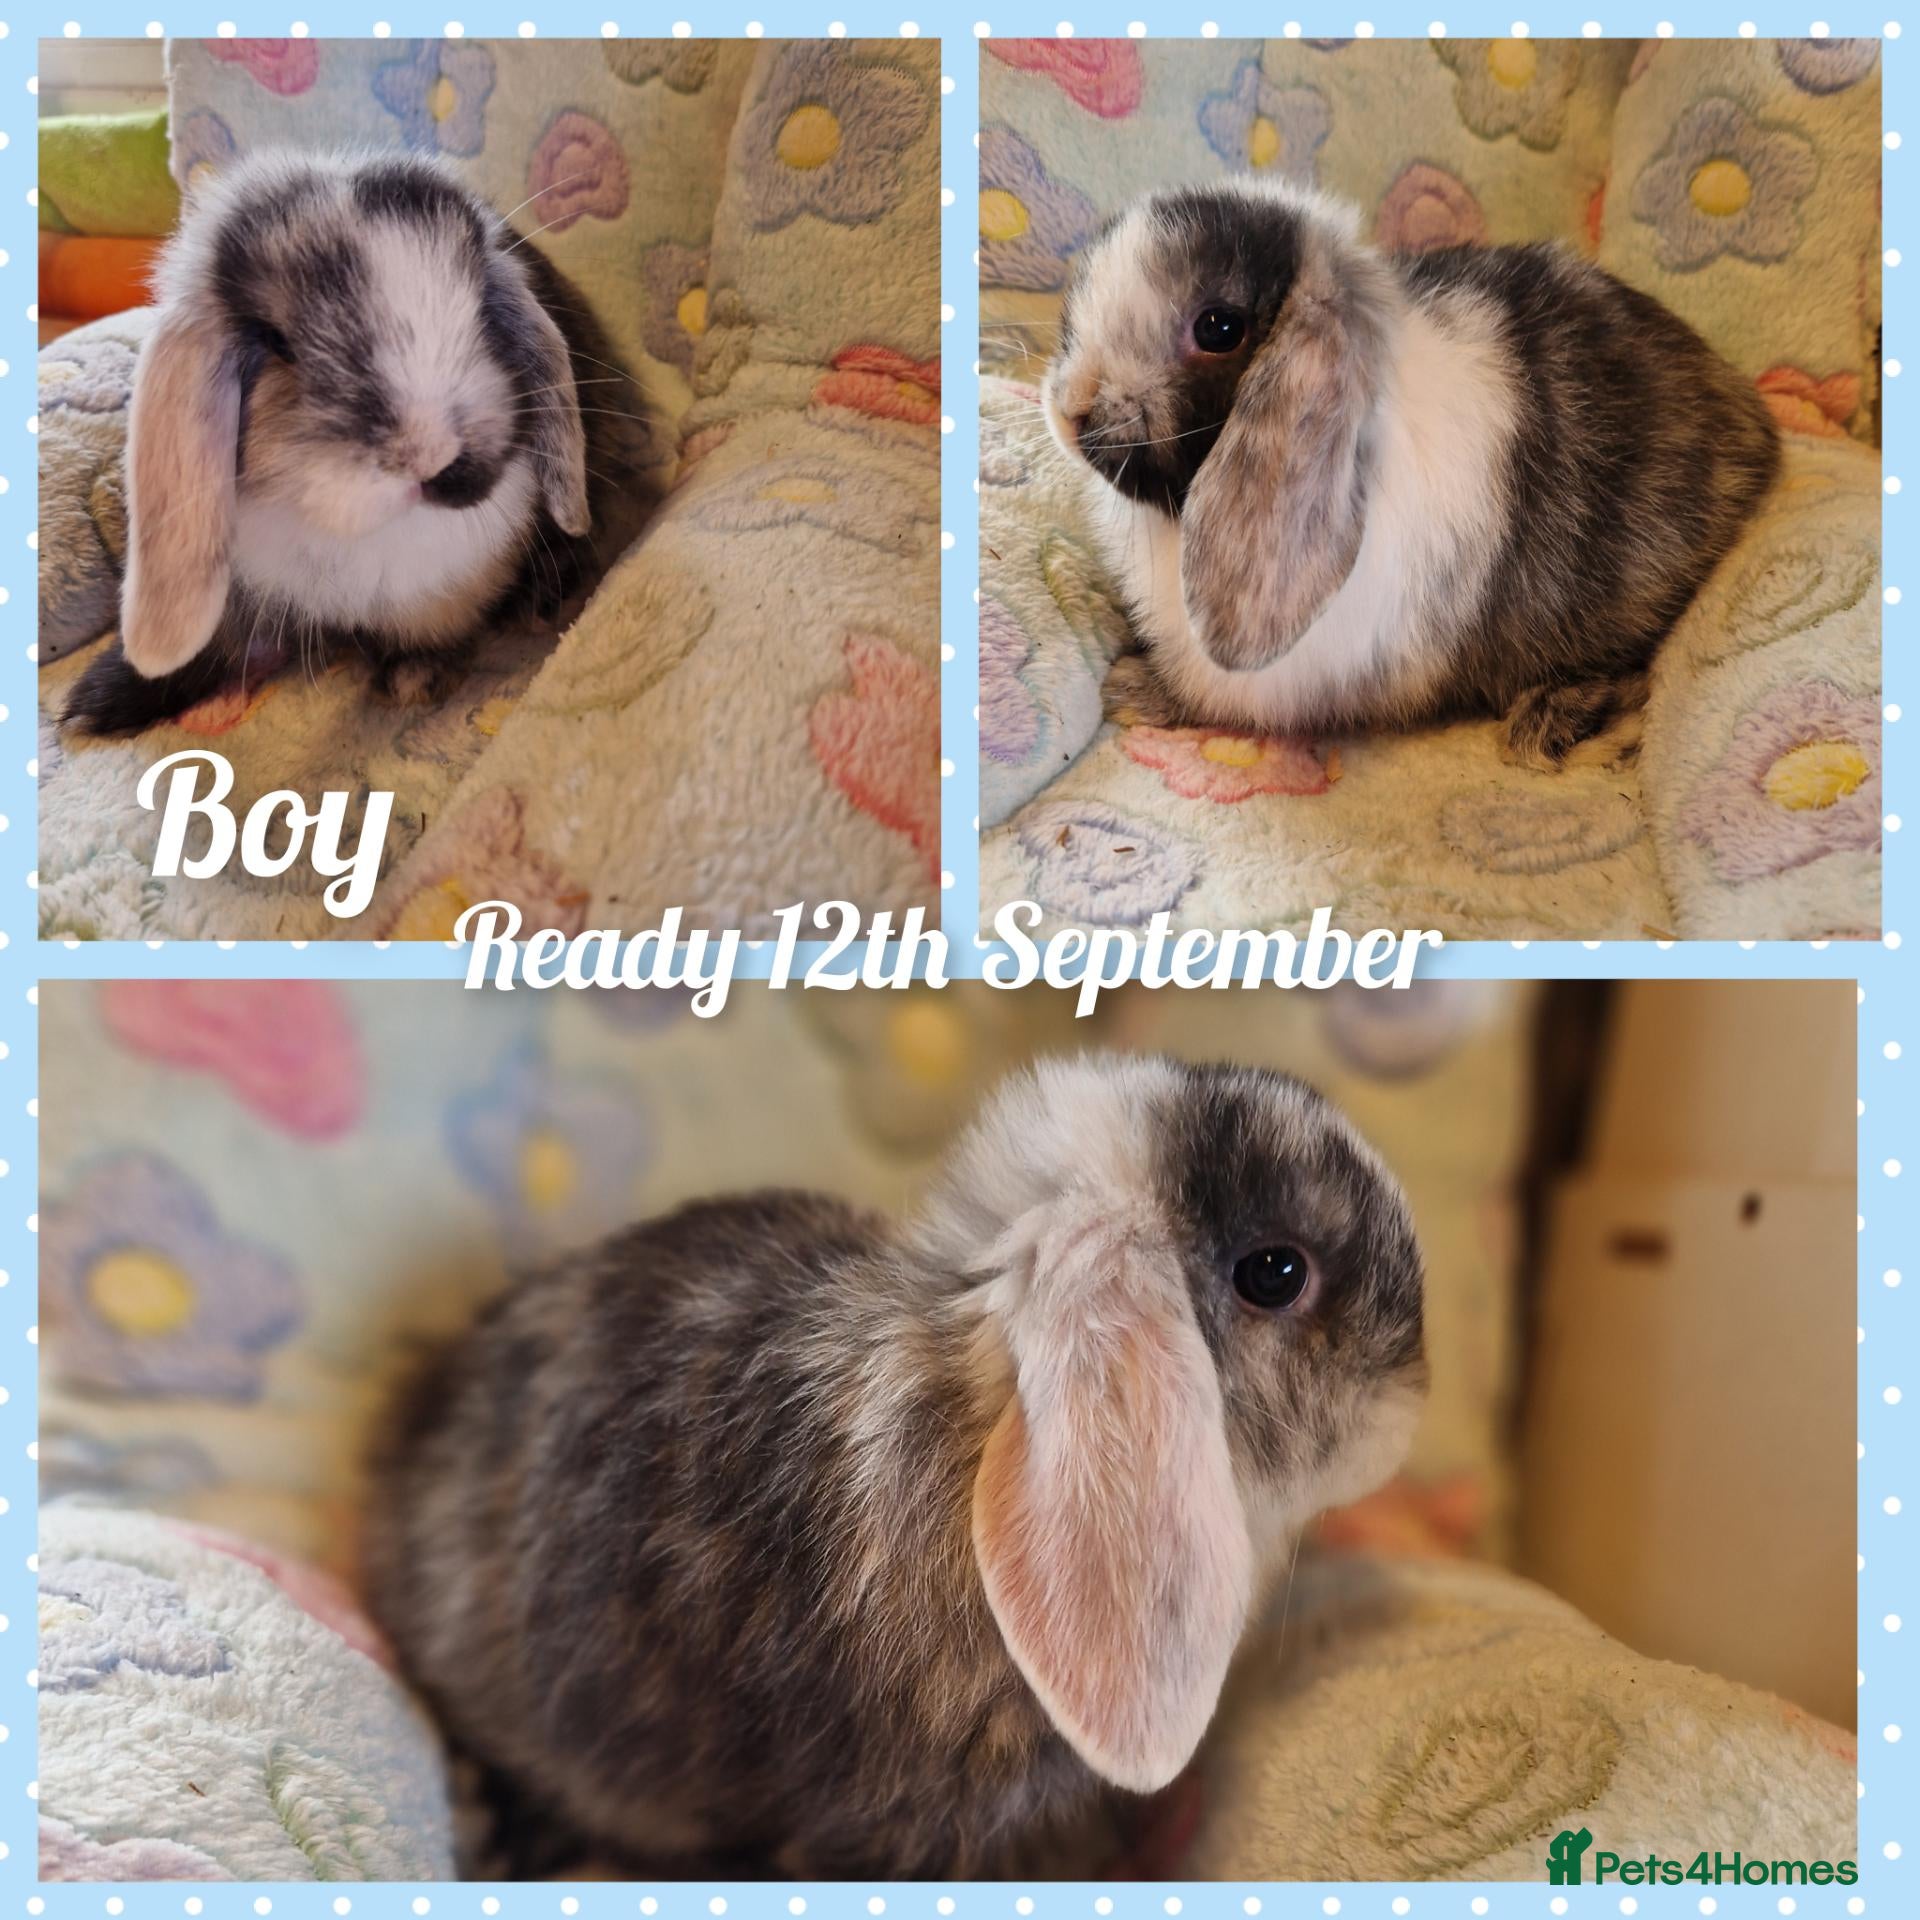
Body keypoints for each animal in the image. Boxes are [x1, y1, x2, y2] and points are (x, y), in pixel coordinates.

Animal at [62, 150, 658, 736]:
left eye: (482, 312)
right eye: (278, 343)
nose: (432, 458)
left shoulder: (447, 597)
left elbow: (430, 637)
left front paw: (415, 679)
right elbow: (221, 646)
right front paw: (102, 701)